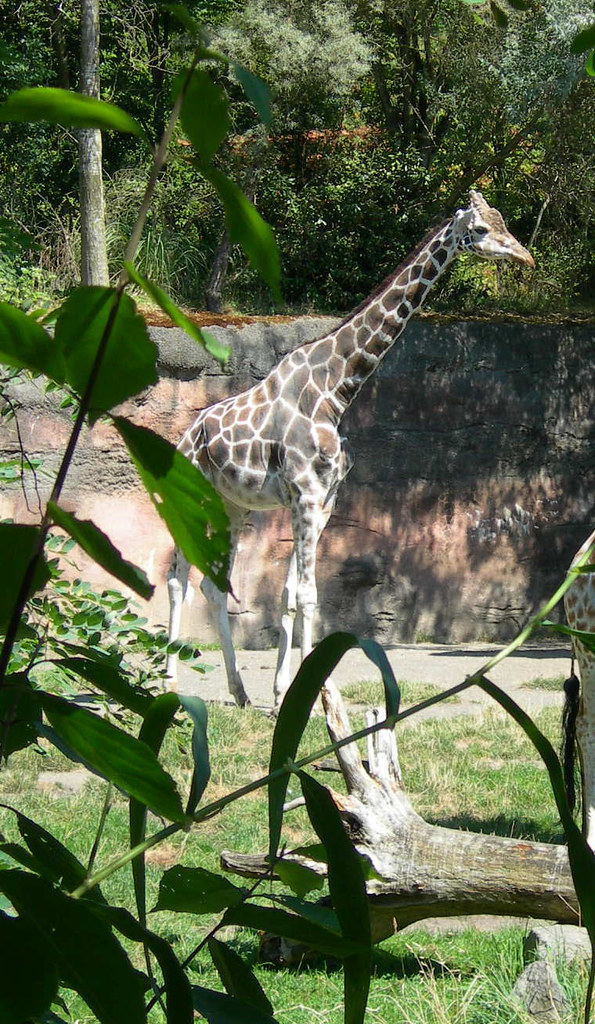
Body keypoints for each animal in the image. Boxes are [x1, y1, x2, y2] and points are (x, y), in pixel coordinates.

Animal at [167, 190, 534, 709]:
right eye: (481, 229)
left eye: (503, 221)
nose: (525, 256)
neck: (337, 390)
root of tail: (184, 438)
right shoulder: (304, 493)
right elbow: (306, 595)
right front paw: (312, 692)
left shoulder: (324, 499)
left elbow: (291, 594)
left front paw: (282, 692)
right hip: (192, 499)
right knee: (177, 580)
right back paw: (168, 683)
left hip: (232, 507)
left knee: (212, 584)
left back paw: (238, 692)